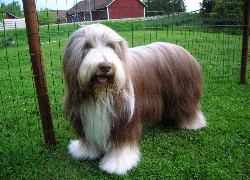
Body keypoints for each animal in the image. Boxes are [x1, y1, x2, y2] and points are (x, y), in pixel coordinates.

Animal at [61, 23, 206, 174]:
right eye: (87, 46)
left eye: (111, 45)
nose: (105, 66)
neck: (100, 94)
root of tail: (183, 50)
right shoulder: (83, 116)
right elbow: (87, 138)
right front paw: (85, 151)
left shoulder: (124, 118)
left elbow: (122, 143)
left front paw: (118, 163)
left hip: (184, 95)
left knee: (189, 109)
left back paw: (192, 124)